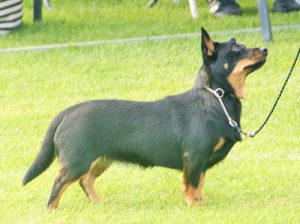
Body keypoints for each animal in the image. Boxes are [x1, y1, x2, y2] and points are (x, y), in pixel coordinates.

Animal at [22, 27, 268, 208]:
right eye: (237, 48)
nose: (265, 49)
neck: (216, 98)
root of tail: (67, 112)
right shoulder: (194, 156)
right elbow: (190, 183)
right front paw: (194, 204)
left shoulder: (202, 161)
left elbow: (199, 182)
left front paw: (200, 199)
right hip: (77, 162)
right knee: (59, 183)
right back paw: (52, 210)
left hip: (101, 159)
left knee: (86, 181)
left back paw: (99, 202)